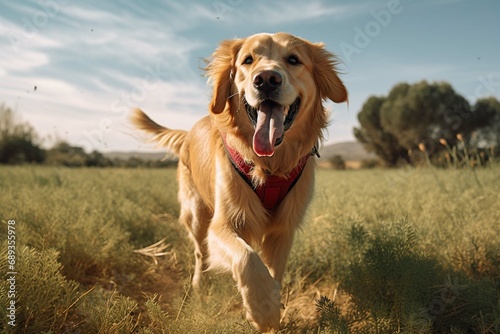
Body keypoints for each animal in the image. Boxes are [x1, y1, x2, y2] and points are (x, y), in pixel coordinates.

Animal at [131, 32, 346, 332]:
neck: (269, 165)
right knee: (201, 254)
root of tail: (189, 132)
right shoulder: (222, 224)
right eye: (247, 60)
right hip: (196, 214)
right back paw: (199, 287)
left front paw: (272, 309)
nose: (266, 79)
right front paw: (262, 309)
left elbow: (273, 270)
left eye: (293, 60)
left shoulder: (283, 230)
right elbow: (246, 258)